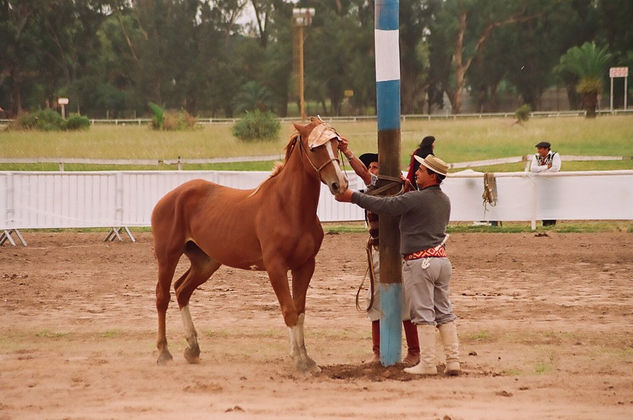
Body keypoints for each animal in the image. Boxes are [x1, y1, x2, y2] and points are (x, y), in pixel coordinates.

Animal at [151, 117, 348, 370]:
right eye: (315, 148)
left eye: (336, 144)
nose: (339, 184)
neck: (288, 208)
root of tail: (169, 197)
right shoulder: (276, 268)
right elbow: (289, 311)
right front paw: (299, 360)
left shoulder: (305, 266)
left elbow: (300, 312)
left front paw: (305, 358)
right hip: (168, 256)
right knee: (162, 296)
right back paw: (163, 352)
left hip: (205, 262)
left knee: (181, 290)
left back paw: (193, 349)